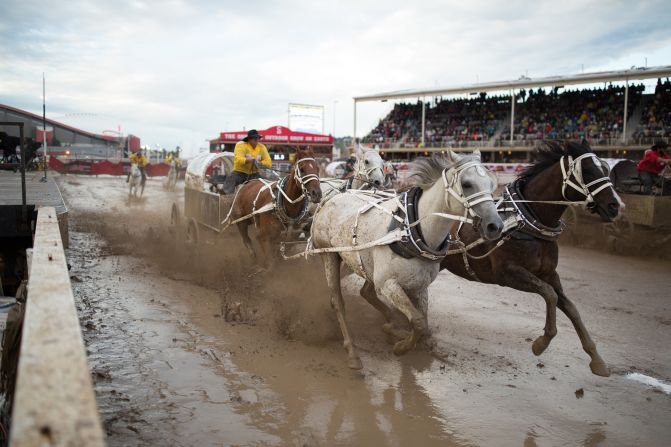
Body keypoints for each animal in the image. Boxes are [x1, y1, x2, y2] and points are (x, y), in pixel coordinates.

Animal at [310, 150, 504, 368]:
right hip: (329, 255)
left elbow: (422, 321)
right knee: (337, 302)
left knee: (366, 293)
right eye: (467, 184)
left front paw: (416, 340)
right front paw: (402, 347)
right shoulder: (388, 284)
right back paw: (352, 351)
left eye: (492, 184)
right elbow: (418, 322)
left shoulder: (419, 285)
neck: (411, 230)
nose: (495, 225)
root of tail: (331, 199)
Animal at [440, 141, 624, 378]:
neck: (525, 221)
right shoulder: (507, 273)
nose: (615, 206)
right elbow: (549, 295)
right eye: (588, 171)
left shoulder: (549, 274)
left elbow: (570, 307)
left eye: (606, 169)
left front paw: (597, 359)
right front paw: (542, 342)